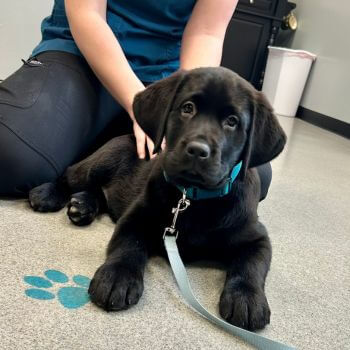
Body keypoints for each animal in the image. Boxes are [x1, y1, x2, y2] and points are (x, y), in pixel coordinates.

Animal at [28, 65, 286, 330]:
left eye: (232, 122)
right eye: (187, 108)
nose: (197, 150)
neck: (192, 198)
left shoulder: (257, 238)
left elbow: (251, 266)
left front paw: (246, 298)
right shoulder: (135, 219)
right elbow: (128, 246)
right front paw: (116, 277)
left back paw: (82, 205)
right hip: (101, 162)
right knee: (71, 174)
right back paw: (49, 194)